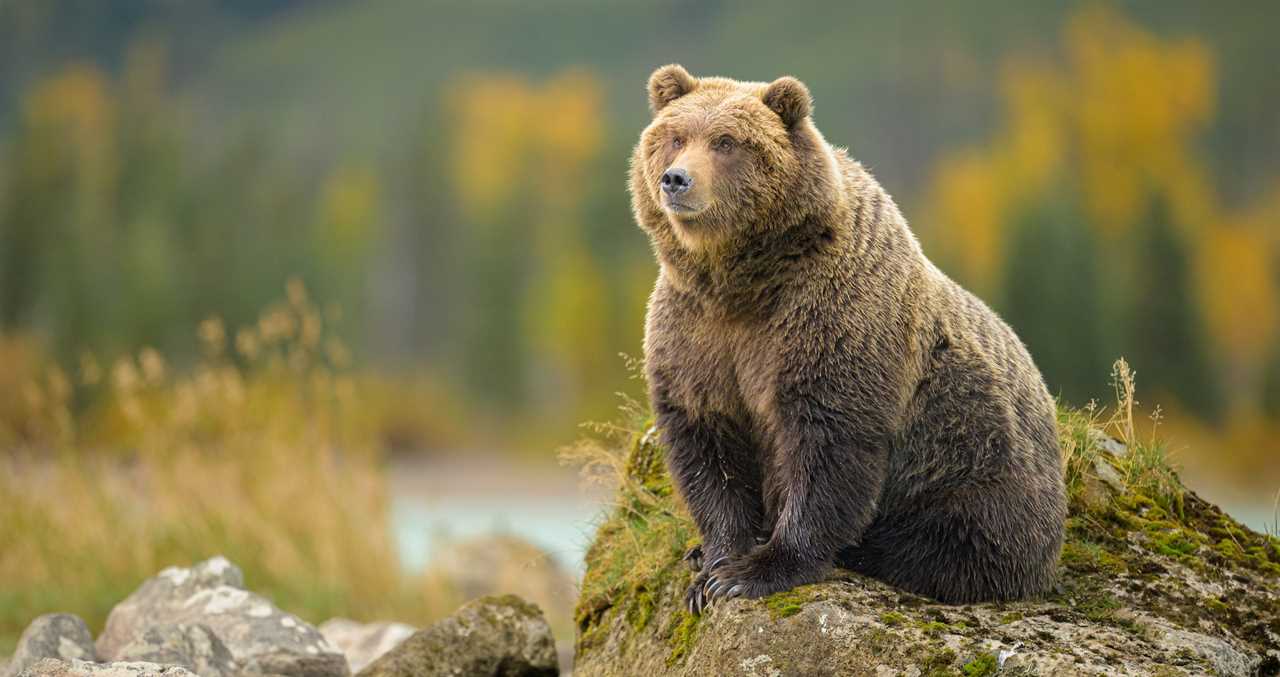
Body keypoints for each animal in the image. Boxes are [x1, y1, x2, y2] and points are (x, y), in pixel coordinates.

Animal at [631, 64, 1067, 614]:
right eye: (675, 137)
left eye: (726, 142)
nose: (676, 179)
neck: (744, 280)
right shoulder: (696, 334)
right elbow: (708, 444)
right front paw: (711, 565)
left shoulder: (831, 319)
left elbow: (828, 442)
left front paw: (755, 570)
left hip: (974, 474)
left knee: (947, 545)